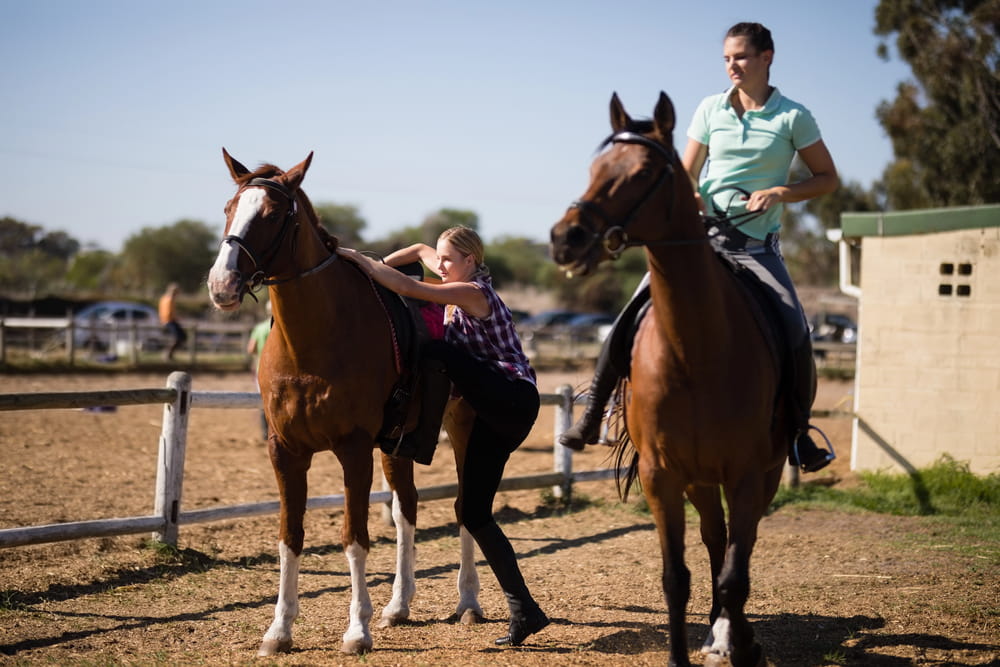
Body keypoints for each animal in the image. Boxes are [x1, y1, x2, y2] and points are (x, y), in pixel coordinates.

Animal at [206, 150, 484, 656]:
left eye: (272, 214)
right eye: (228, 208)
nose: (222, 284)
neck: (312, 343)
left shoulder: (353, 449)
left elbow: (354, 538)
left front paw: (357, 629)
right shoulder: (285, 451)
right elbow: (290, 537)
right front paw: (279, 629)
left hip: (462, 426)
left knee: (462, 506)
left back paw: (469, 601)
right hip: (398, 446)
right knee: (407, 509)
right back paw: (399, 605)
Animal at [549, 93, 788, 667]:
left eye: (640, 173)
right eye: (594, 169)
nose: (566, 238)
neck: (695, 349)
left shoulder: (747, 474)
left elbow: (735, 576)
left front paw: (740, 641)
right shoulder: (662, 476)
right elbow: (676, 578)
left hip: (760, 474)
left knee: (737, 550)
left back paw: (734, 634)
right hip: (699, 481)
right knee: (715, 538)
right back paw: (718, 629)